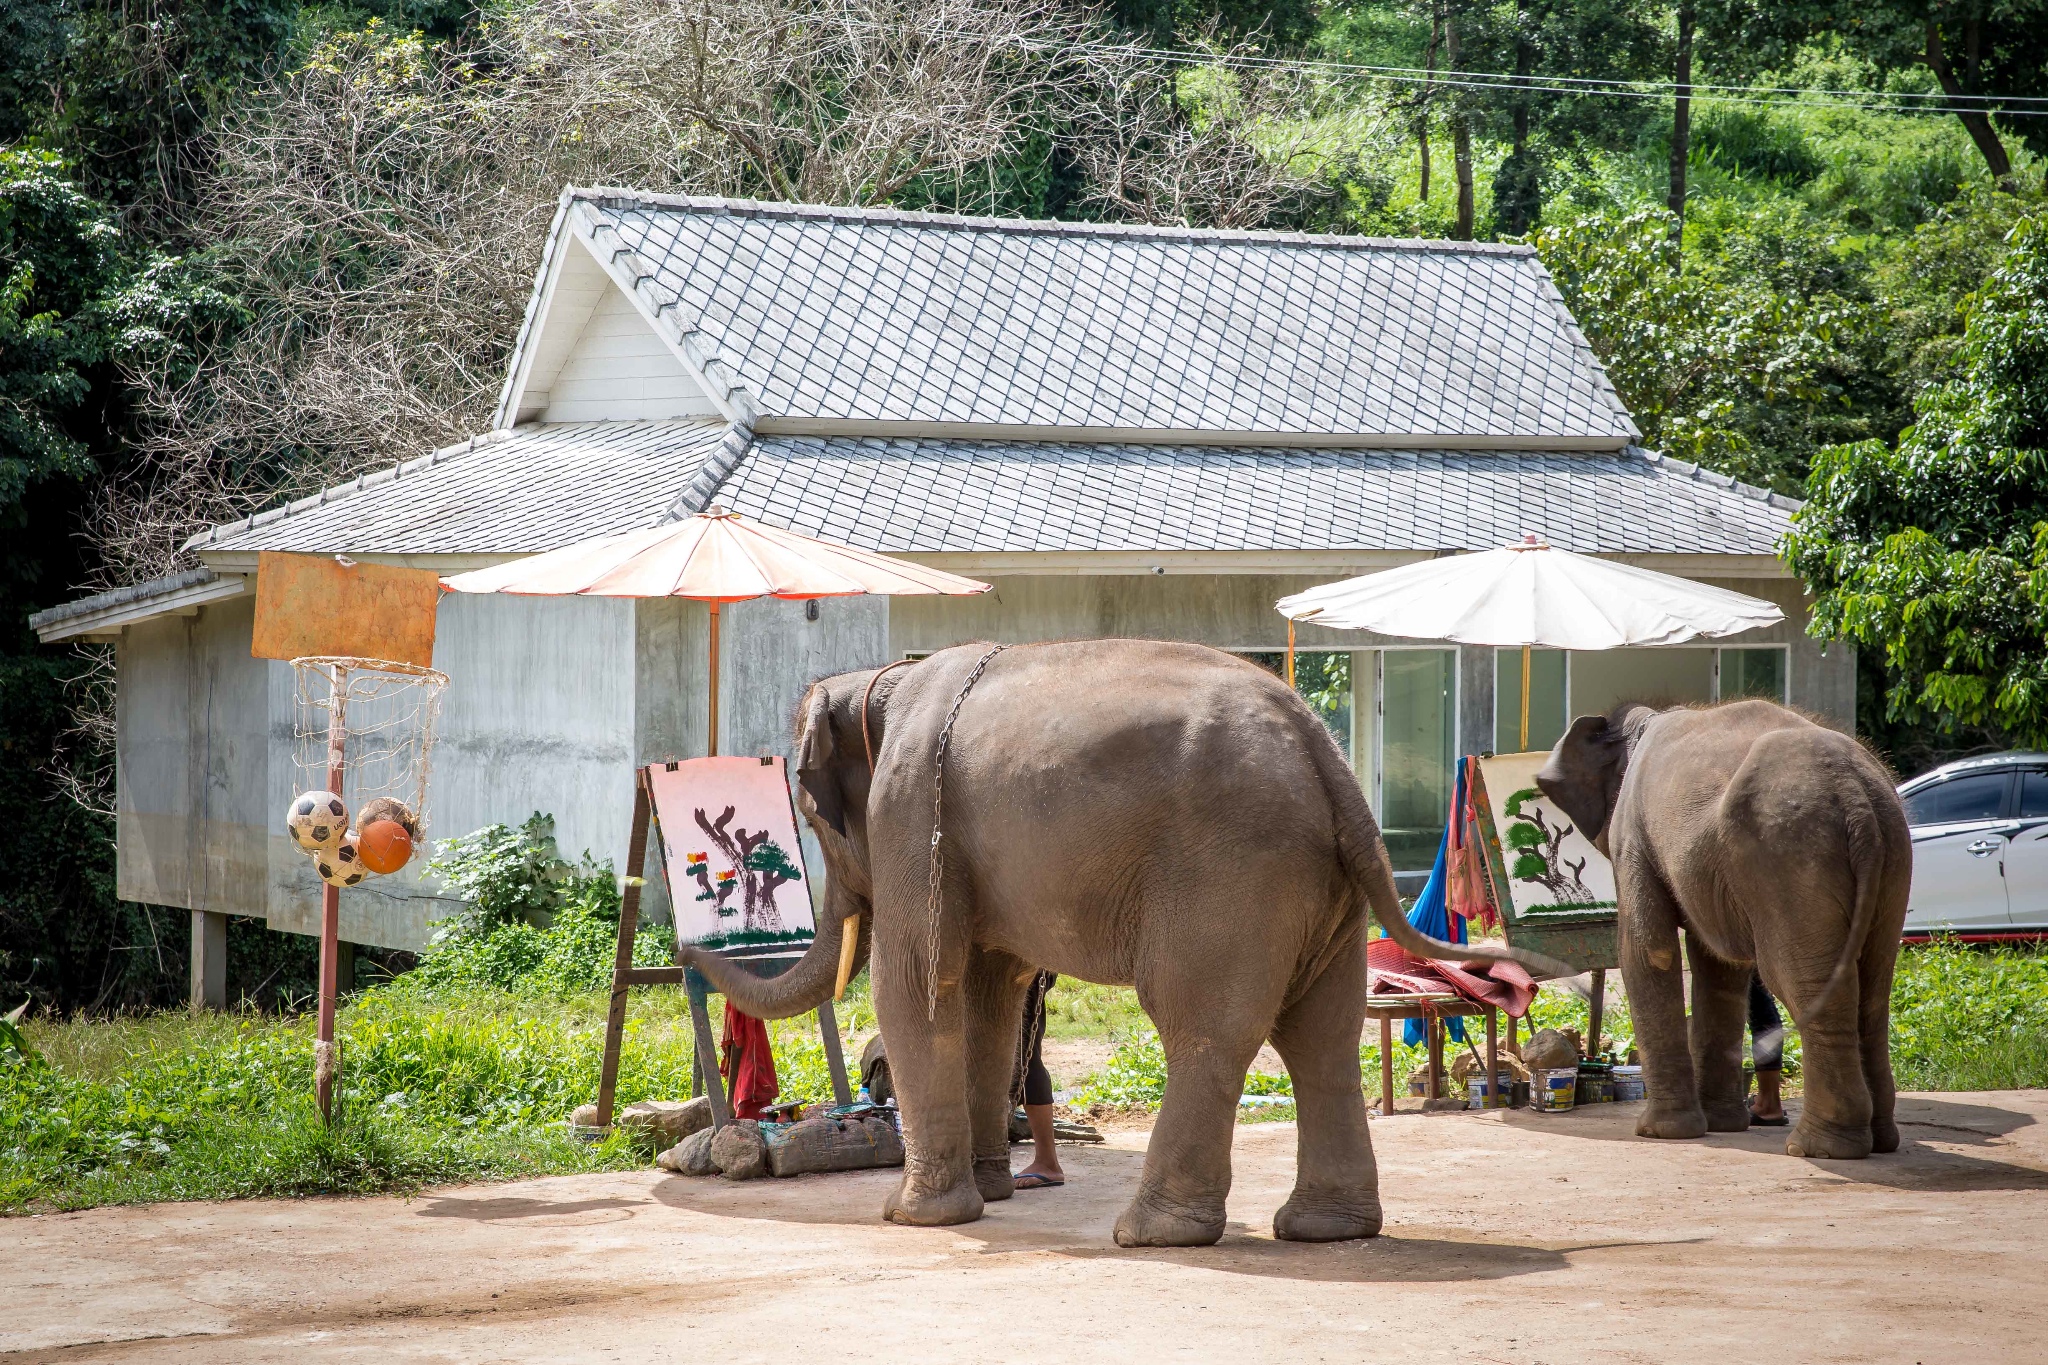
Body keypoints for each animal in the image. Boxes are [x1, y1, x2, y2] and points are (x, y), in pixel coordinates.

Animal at [679, 642, 1556, 1252]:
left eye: (812, 814)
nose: (689, 956)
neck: (881, 680)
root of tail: (1324, 752)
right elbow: (990, 997)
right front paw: (993, 1194)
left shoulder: (907, 813)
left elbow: (919, 986)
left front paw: (913, 1215)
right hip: (1326, 891)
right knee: (1321, 1037)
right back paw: (1326, 1229)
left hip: (1233, 872)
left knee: (1207, 1030)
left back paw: (1153, 1233)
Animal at [1540, 699, 1916, 1162]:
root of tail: (1856, 796)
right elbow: (1718, 965)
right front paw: (1722, 1126)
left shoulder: (1632, 833)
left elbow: (1648, 950)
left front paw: (1658, 1133)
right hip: (1892, 856)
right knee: (1874, 988)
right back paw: (1879, 1141)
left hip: (1789, 856)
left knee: (1805, 983)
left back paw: (1819, 1149)